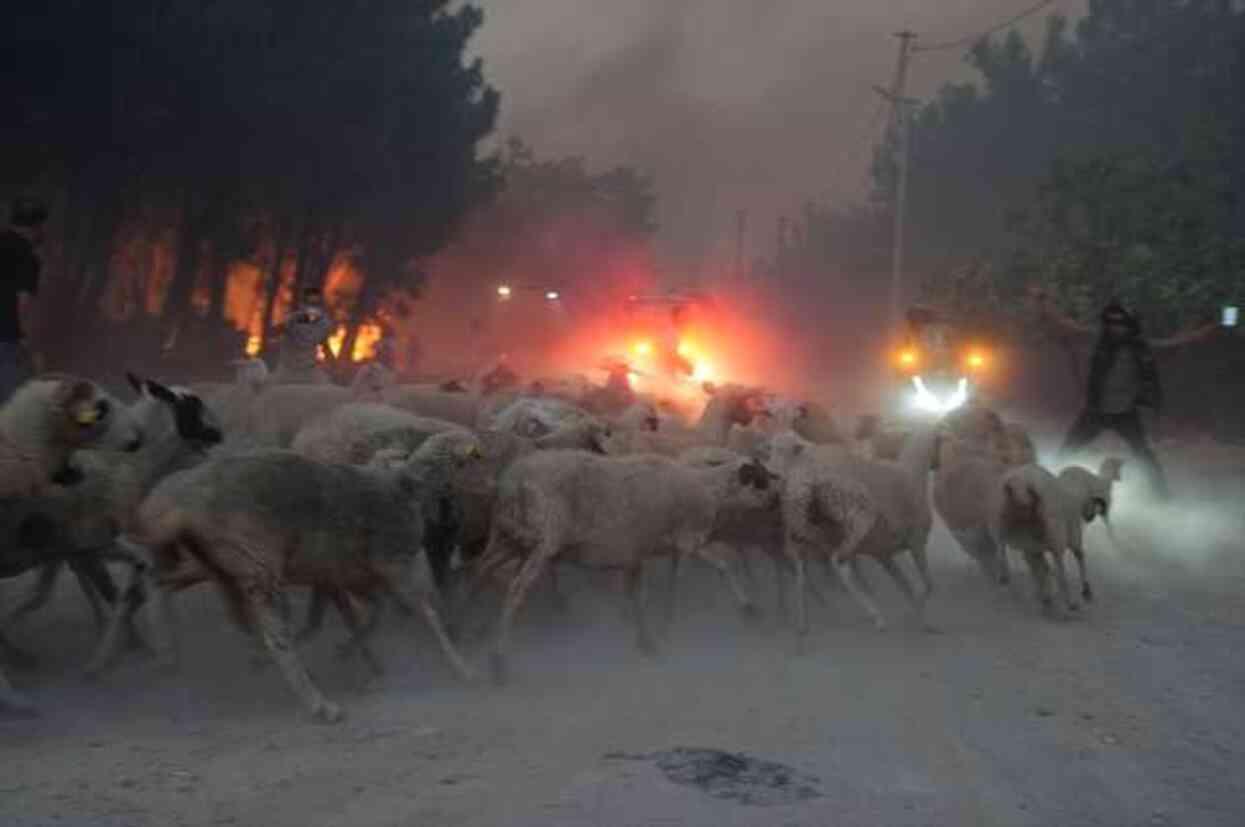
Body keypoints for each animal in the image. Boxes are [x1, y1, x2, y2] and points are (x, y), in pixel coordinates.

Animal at [95, 428, 485, 722]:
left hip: (214, 563)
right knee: (277, 638)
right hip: (258, 564)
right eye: (477, 456)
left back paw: (168, 649)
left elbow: (366, 617)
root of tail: (189, 501)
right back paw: (319, 704)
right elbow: (426, 616)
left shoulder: (348, 577)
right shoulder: (395, 568)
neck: (408, 487)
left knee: (159, 580)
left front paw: (367, 664)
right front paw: (461, 669)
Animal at [478, 448, 776, 682]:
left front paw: (652, 636)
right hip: (542, 542)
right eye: (760, 479)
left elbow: (649, 592)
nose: (776, 501)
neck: (709, 490)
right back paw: (497, 661)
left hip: (507, 538)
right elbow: (711, 570)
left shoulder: (643, 552)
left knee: (480, 569)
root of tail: (514, 480)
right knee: (515, 590)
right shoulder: (687, 541)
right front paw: (746, 609)